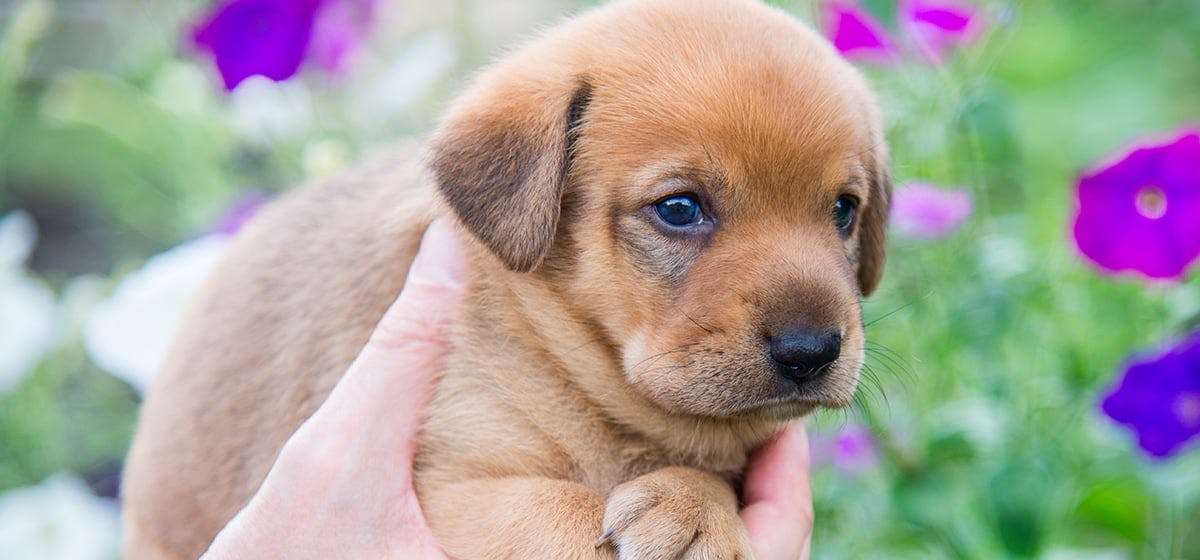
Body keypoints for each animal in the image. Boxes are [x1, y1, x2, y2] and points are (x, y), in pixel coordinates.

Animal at [124, 0, 892, 558]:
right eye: (679, 209)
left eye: (843, 210)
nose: (811, 352)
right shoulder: (447, 490)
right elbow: (562, 510)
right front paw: (683, 508)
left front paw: (692, 503)